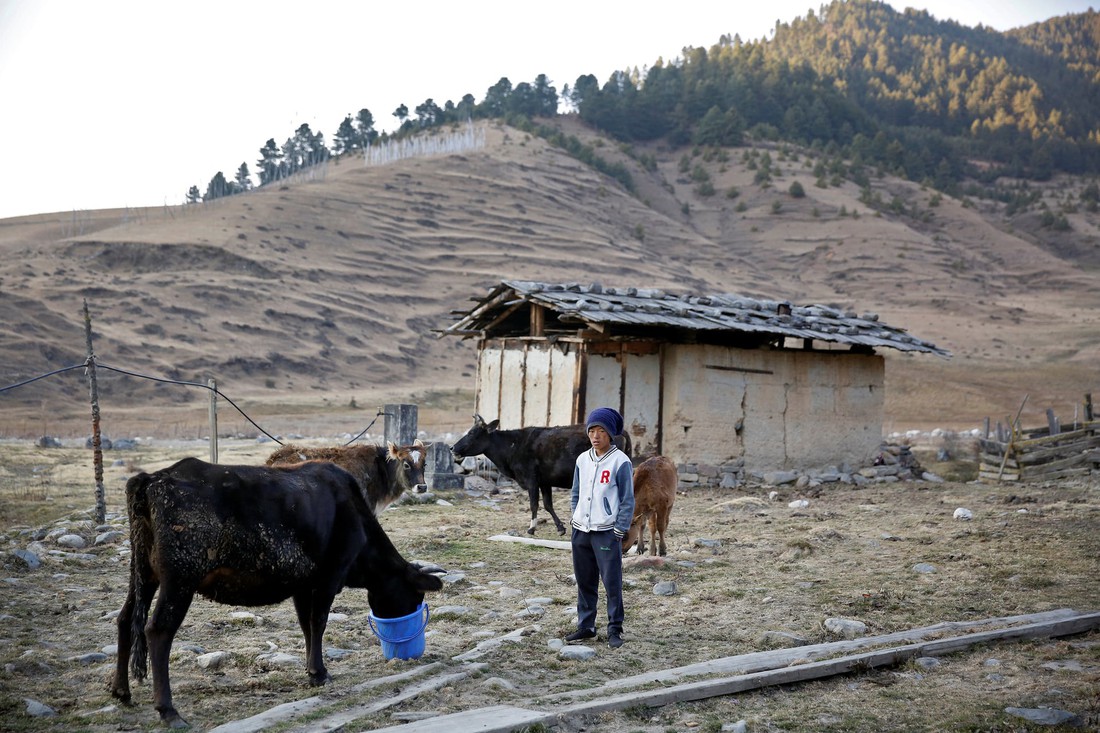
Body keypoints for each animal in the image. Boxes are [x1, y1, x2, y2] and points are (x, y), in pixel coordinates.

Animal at [108, 457, 442, 726]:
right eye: (416, 596)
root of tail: (152, 478)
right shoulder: (330, 574)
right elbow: (319, 621)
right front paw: (320, 672)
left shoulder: (302, 584)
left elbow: (306, 625)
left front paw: (312, 670)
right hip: (180, 578)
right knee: (158, 630)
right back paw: (168, 710)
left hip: (142, 573)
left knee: (125, 619)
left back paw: (121, 691)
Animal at [451, 413, 633, 534]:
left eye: (472, 433)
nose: (452, 448)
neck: (513, 445)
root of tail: (622, 431)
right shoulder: (545, 481)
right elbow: (547, 504)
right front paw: (560, 527)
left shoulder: (531, 479)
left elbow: (534, 504)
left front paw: (531, 528)